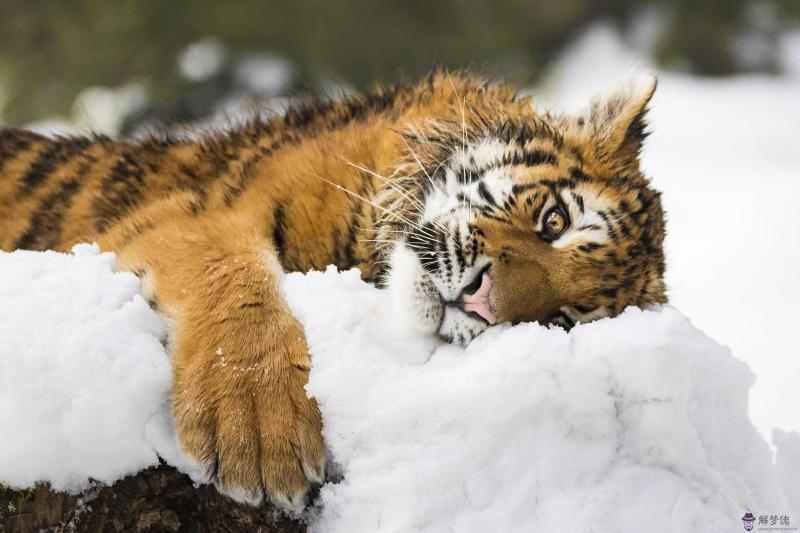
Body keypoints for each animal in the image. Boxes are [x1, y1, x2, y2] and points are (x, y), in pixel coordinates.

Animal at [0, 69, 664, 508]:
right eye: (555, 221)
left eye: (563, 319)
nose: (482, 300)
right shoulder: (194, 213)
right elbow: (234, 276)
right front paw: (256, 431)